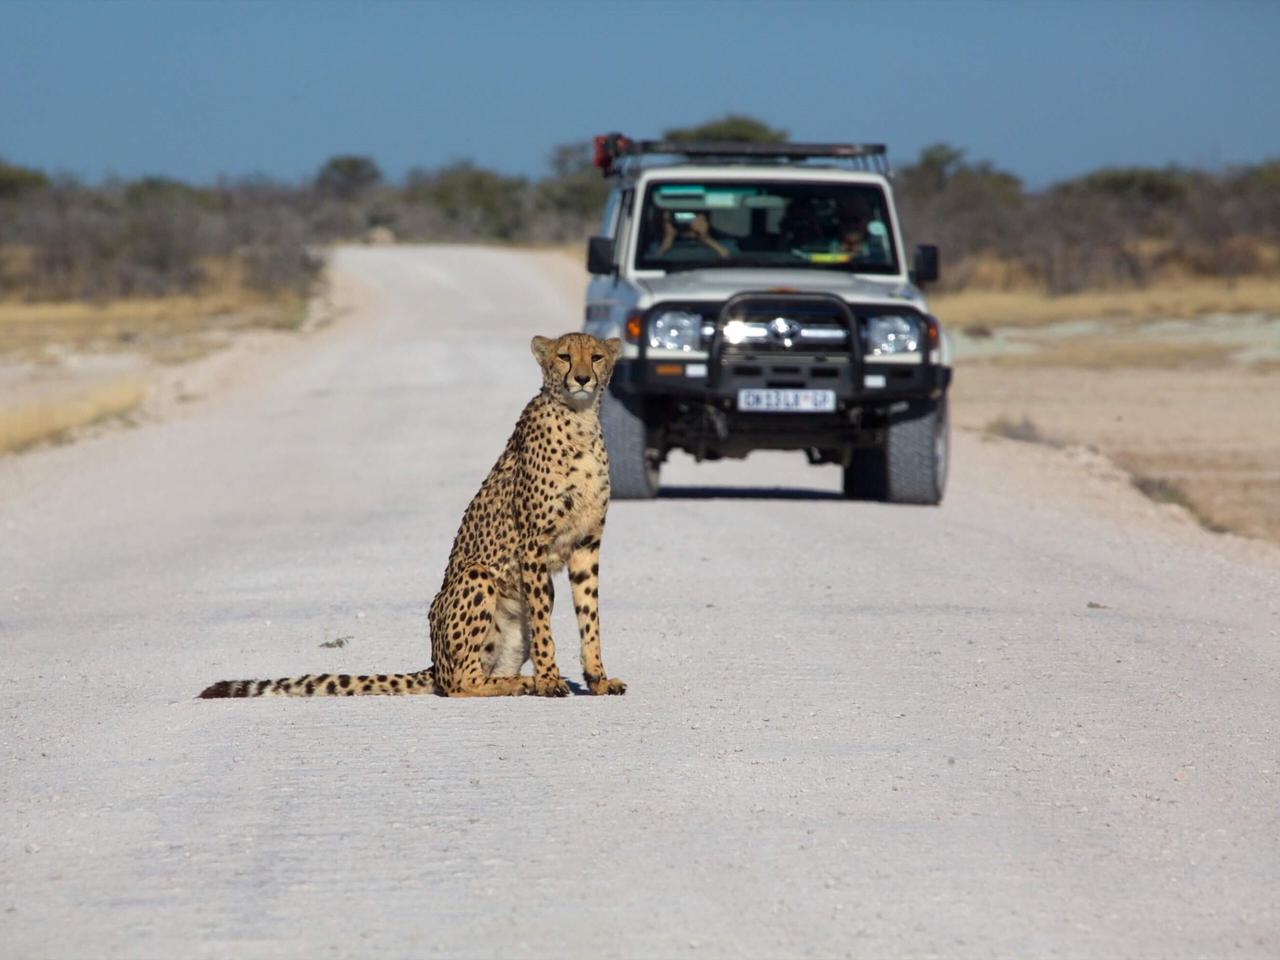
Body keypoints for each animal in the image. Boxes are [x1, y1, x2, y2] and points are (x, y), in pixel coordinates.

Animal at [199, 332, 627, 699]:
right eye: (564, 356)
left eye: (596, 356)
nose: (583, 378)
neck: (580, 420)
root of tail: (435, 663)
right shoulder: (533, 545)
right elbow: (542, 625)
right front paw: (551, 679)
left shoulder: (586, 545)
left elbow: (590, 617)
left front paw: (598, 678)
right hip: (478, 576)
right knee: (459, 683)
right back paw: (521, 683)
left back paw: (517, 680)